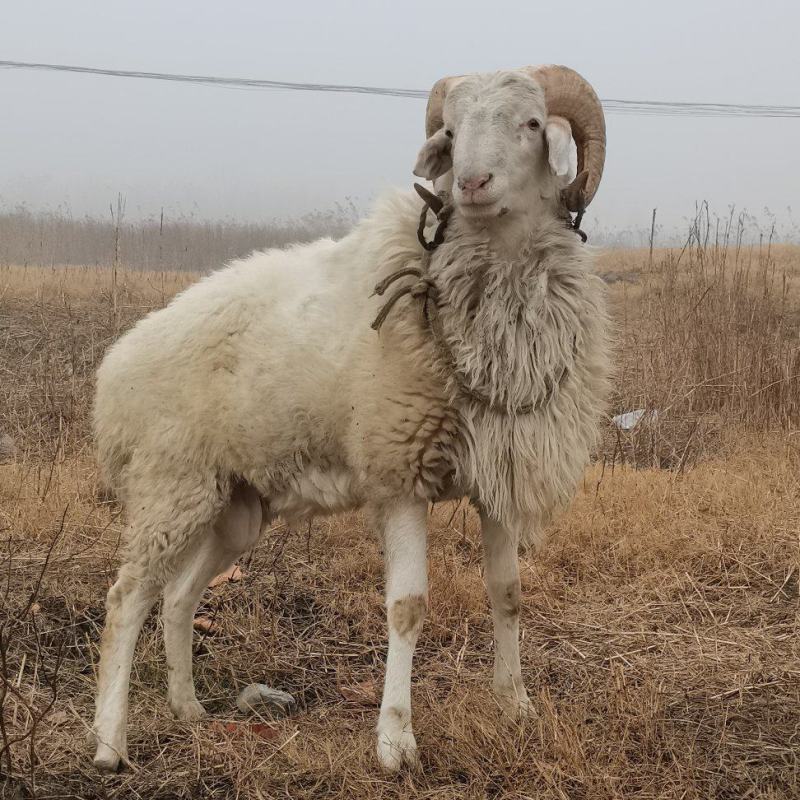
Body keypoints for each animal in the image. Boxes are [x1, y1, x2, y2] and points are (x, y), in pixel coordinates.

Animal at [89, 65, 612, 772]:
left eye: (531, 123)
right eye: (452, 131)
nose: (471, 184)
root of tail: (115, 367)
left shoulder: (497, 474)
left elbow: (507, 593)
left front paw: (517, 706)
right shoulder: (398, 475)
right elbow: (408, 607)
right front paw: (395, 739)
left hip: (234, 505)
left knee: (177, 597)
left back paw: (189, 709)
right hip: (169, 486)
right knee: (127, 599)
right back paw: (109, 744)